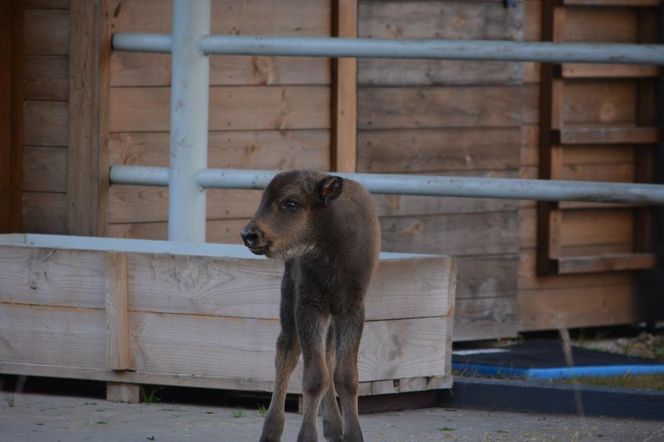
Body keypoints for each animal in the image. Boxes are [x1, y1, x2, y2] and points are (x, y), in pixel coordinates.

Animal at [241, 170, 382, 442]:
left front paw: (353, 435)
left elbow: (345, 375)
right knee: (286, 355)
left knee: (327, 354)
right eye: (263, 199)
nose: (249, 234)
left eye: (291, 203)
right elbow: (315, 377)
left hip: (328, 316)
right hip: (288, 304)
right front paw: (307, 436)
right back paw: (271, 431)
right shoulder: (308, 306)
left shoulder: (350, 308)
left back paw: (333, 427)